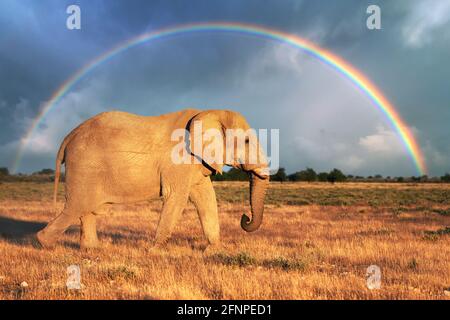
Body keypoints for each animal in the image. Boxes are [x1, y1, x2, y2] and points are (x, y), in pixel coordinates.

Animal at [37, 109, 268, 250]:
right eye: (247, 141)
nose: (244, 217)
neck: (209, 112)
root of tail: (69, 136)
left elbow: (206, 198)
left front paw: (213, 251)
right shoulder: (179, 159)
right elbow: (176, 198)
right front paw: (154, 251)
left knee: (86, 209)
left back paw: (92, 250)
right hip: (84, 166)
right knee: (77, 205)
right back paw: (46, 245)